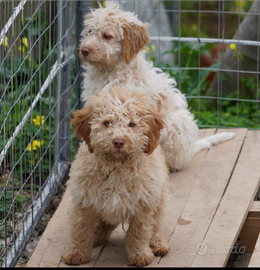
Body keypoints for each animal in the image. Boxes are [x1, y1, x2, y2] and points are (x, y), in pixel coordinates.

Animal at [61, 87, 171, 266]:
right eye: (107, 123)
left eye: (131, 124)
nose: (118, 141)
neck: (116, 167)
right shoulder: (84, 200)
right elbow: (81, 229)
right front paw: (76, 253)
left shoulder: (144, 203)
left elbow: (140, 232)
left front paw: (140, 255)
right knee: (105, 224)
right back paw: (97, 234)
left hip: (160, 201)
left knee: (156, 227)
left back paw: (159, 244)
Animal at [78, 2, 235, 171]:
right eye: (89, 32)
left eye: (107, 36)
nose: (84, 50)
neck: (108, 73)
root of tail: (190, 150)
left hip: (175, 125)